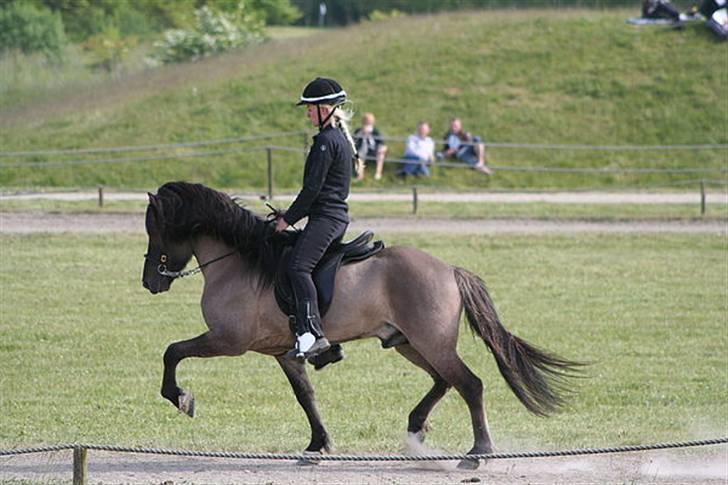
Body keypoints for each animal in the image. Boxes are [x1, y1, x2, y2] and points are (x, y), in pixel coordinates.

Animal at [142, 180, 580, 466]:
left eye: (156, 230)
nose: (149, 282)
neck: (240, 260)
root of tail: (450, 270)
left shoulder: (227, 340)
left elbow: (172, 352)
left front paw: (180, 397)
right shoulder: (283, 352)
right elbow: (306, 396)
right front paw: (318, 446)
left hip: (430, 342)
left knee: (469, 384)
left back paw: (478, 453)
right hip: (410, 343)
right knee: (444, 380)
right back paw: (417, 429)